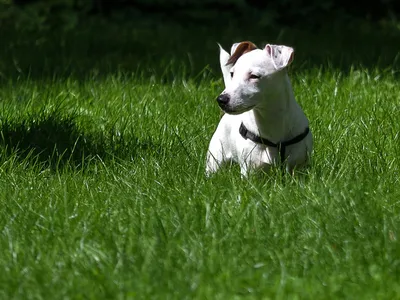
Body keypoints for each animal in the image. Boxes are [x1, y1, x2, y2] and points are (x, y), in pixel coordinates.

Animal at [206, 41, 312, 175]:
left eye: (254, 76)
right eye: (232, 74)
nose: (221, 99)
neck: (271, 120)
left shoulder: (299, 167)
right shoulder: (250, 170)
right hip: (215, 159)